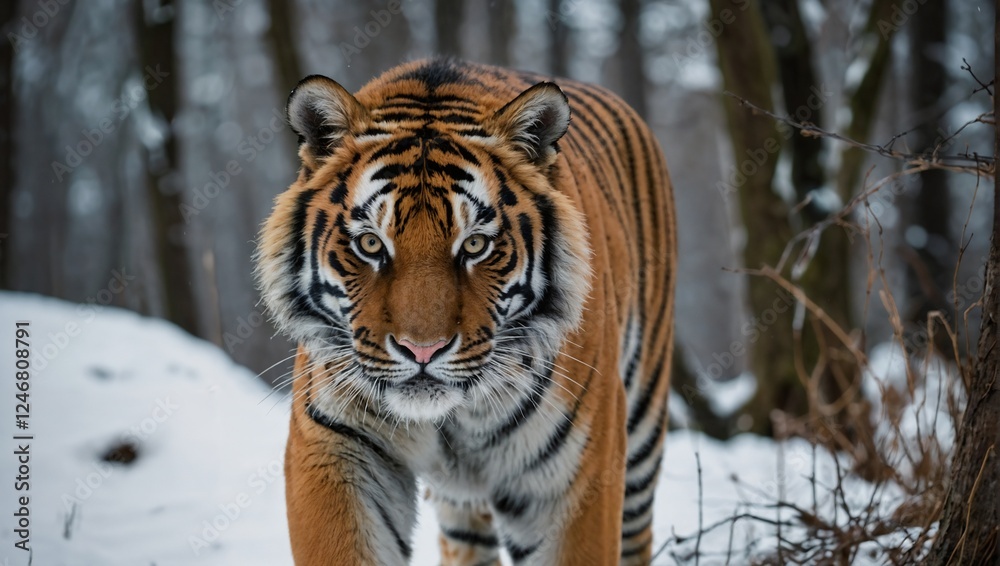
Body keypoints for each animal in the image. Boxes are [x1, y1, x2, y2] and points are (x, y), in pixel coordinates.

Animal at [255, 57, 675, 566]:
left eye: (474, 245)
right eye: (371, 244)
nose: (422, 350)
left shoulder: (573, 476)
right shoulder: (335, 449)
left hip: (641, 433)